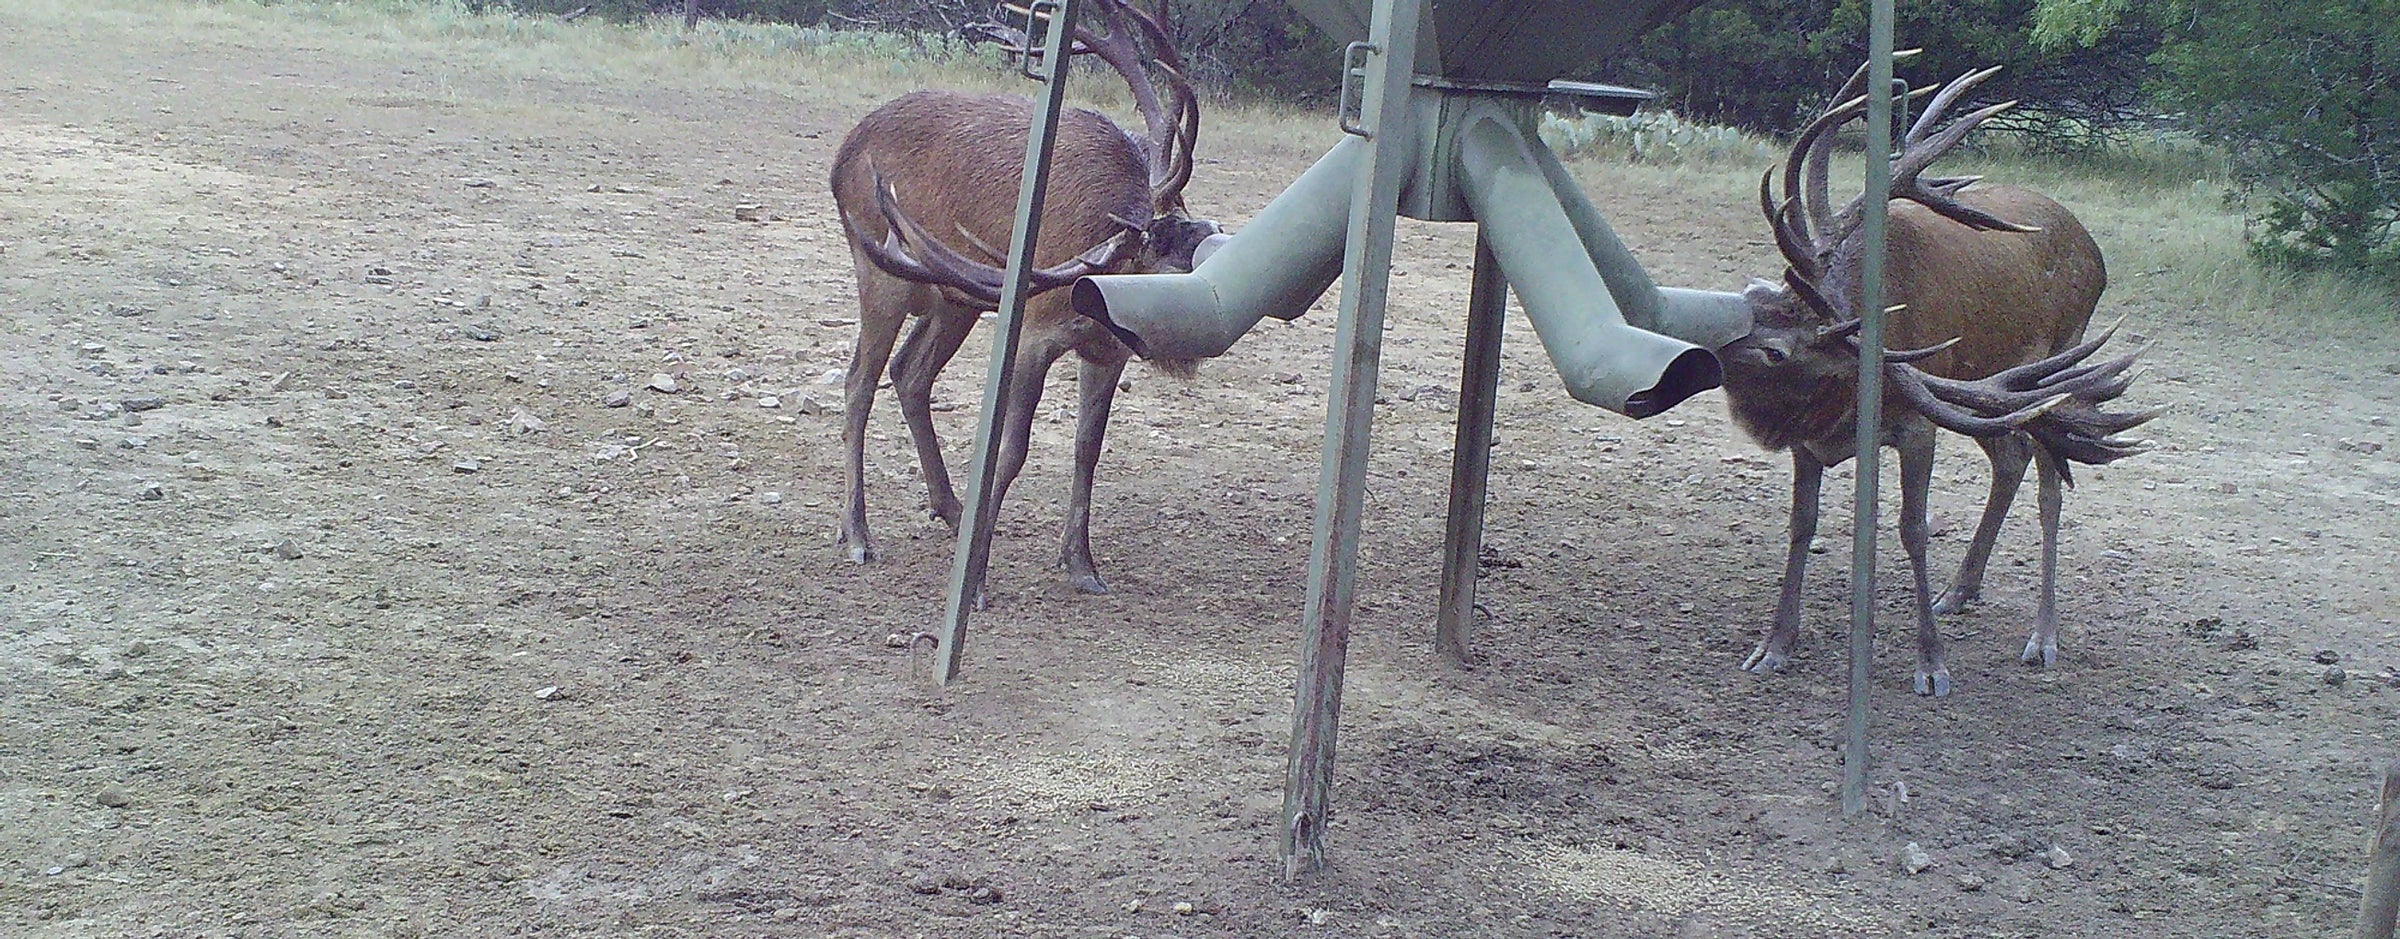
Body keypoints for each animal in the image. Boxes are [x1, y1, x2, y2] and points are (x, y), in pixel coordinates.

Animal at [829, 0, 1222, 605]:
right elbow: (1011, 449)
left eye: (1200, 224)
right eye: (1169, 248)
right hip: (881, 273)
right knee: (858, 384)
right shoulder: (1034, 331)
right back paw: (857, 533)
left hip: (956, 298)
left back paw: (952, 510)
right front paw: (976, 582)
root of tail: (839, 157)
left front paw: (1081, 563)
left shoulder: (1107, 351)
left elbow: (1087, 447)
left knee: (910, 372)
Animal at [1719, 61, 2162, 697]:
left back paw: (2043, 635)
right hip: (1995, 388)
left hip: (2054, 363)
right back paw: (1961, 587)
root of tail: (2096, 253)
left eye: (1776, 352)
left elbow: (1913, 528)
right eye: (1753, 299)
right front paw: (1775, 644)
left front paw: (1931, 664)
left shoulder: (1915, 423)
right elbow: (1802, 524)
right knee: (2011, 456)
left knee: (2050, 484)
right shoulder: (1814, 442)